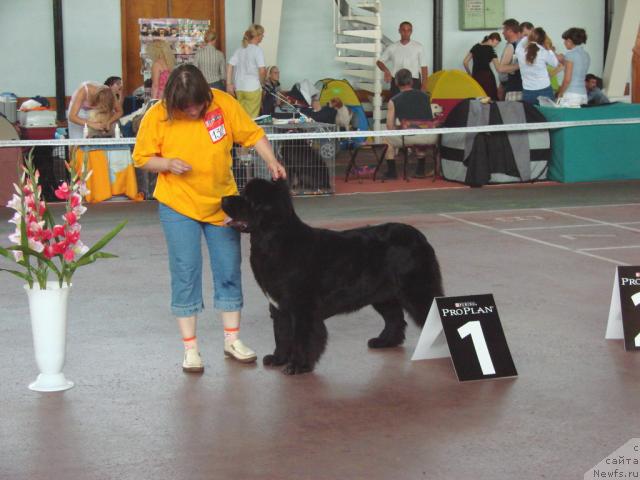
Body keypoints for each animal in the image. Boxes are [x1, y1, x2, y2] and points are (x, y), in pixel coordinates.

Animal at [222, 177, 442, 376]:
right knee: (395, 318)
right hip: (382, 294)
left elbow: (302, 338)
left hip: (416, 291)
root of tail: (420, 237)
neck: (274, 240)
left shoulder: (302, 308)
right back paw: (384, 341)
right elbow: (282, 334)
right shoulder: (279, 307)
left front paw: (297, 366)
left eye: (247, 199)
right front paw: (278, 359)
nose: (223, 199)